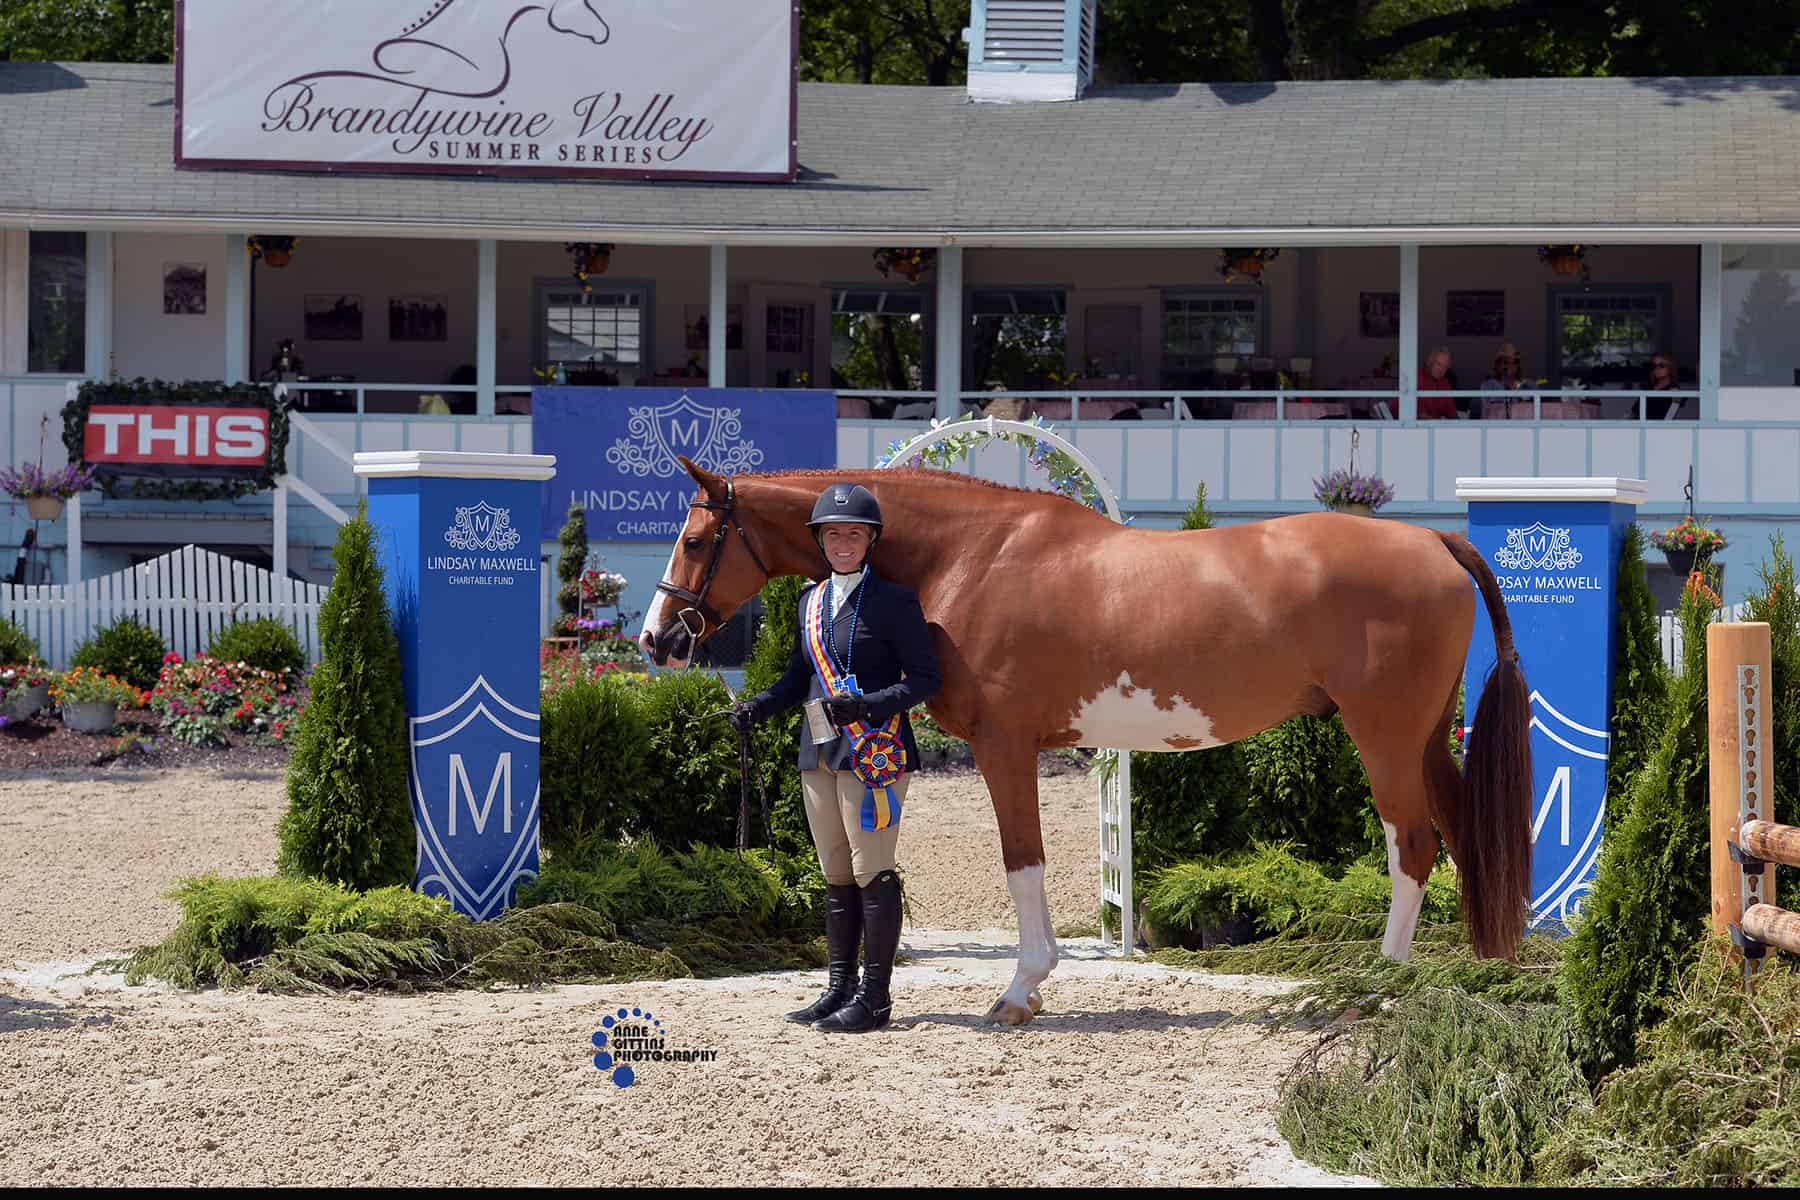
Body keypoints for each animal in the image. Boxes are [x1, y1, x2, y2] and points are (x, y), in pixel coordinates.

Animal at [640, 458, 1533, 1026]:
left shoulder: (1005, 744)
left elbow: (1021, 861)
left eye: (695, 540)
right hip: (1426, 736)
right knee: (1461, 840)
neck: (968, 554)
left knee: (1412, 845)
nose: (658, 640)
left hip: (1384, 733)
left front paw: (1020, 992)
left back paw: (1378, 986)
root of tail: (1433, 540)